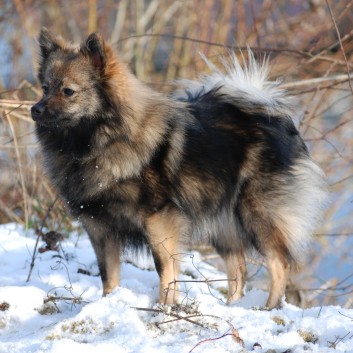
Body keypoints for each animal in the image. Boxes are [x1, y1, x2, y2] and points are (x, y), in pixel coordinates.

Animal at [31, 28, 328, 308]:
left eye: (68, 91)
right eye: (45, 87)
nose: (35, 109)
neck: (95, 144)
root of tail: (274, 118)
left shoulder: (158, 220)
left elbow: (165, 268)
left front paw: (165, 306)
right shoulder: (100, 229)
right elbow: (109, 275)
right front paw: (110, 302)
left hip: (256, 214)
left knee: (279, 263)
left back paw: (269, 308)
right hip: (223, 224)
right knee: (239, 270)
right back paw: (232, 307)